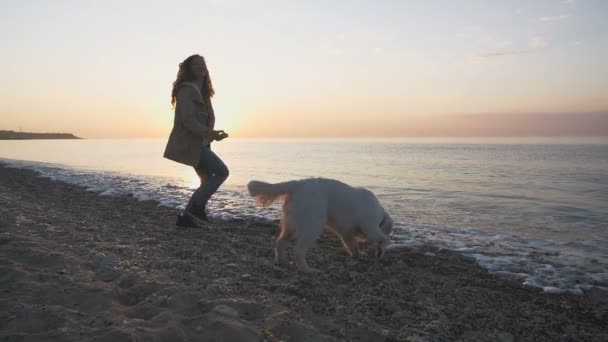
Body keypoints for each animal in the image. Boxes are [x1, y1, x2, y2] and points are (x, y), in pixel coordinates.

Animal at [247, 179, 394, 272]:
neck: (380, 214)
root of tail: (298, 184)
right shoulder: (370, 226)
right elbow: (385, 239)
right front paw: (381, 250)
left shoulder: (345, 232)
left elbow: (353, 245)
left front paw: (357, 255)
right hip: (313, 226)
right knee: (298, 250)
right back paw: (307, 270)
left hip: (292, 225)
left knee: (280, 242)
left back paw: (282, 261)